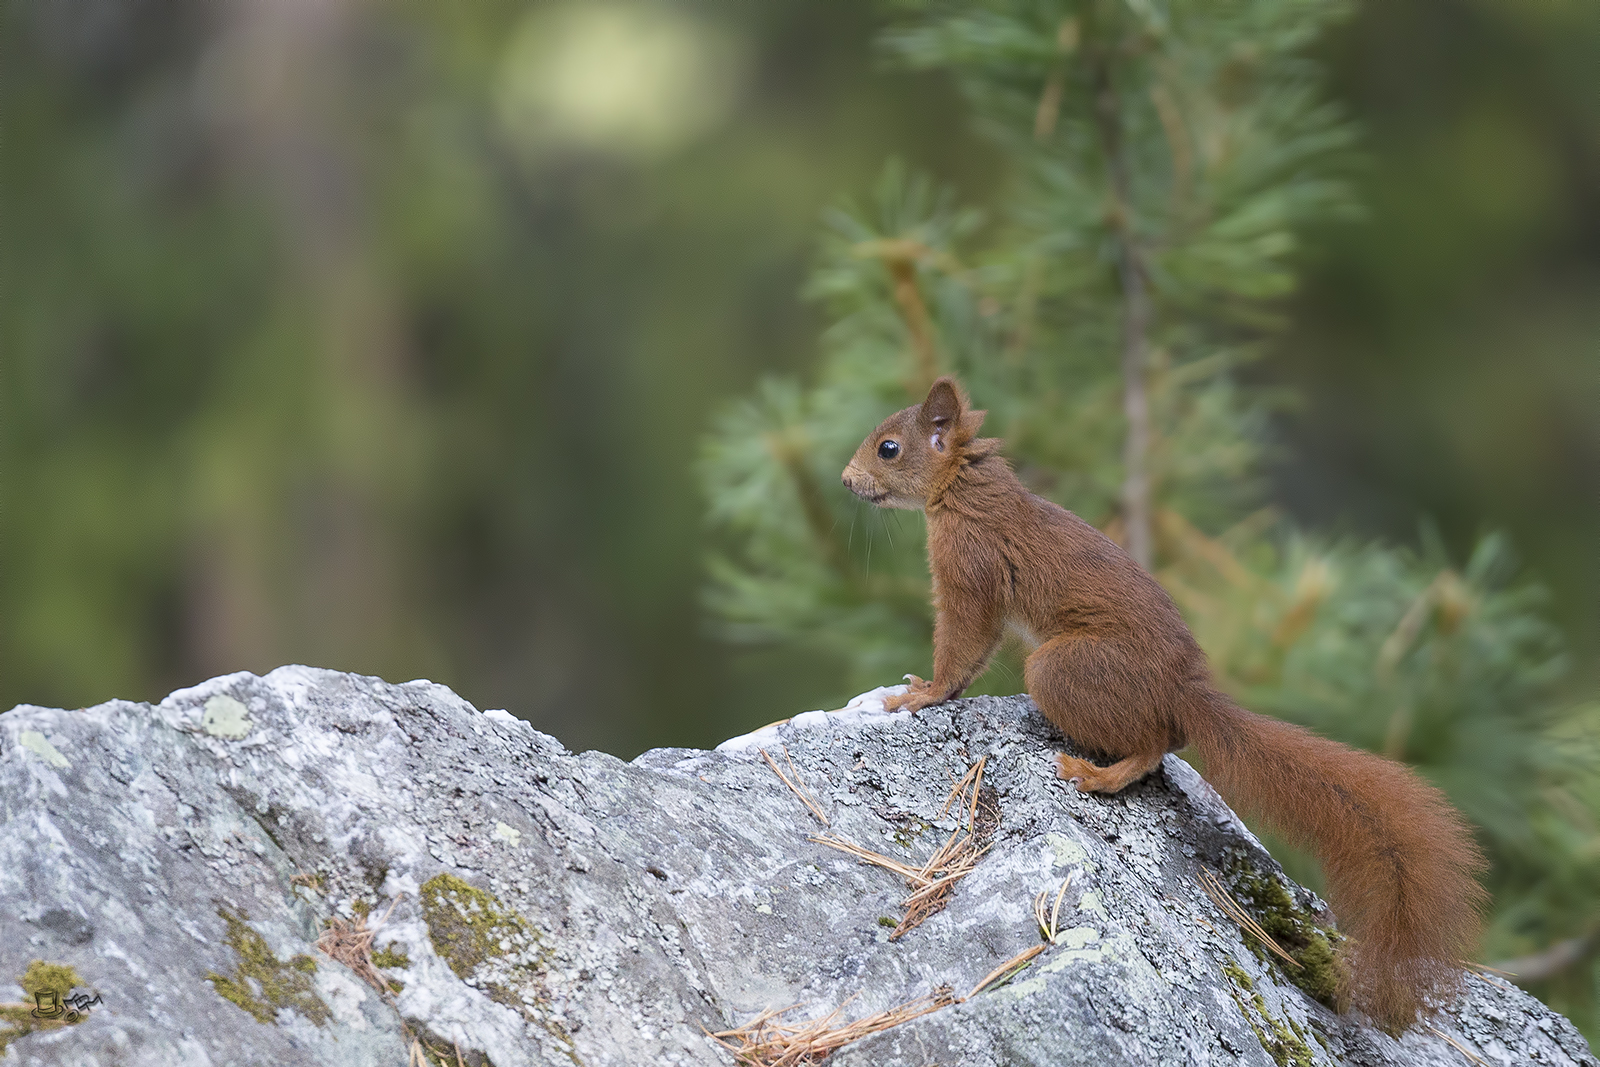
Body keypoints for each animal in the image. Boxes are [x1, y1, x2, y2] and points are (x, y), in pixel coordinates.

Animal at [841, 375, 1486, 1030]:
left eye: (889, 449)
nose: (845, 479)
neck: (965, 489)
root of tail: (1182, 693)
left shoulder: (969, 567)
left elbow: (963, 644)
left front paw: (921, 693)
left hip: (1060, 669)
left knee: (1149, 748)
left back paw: (1096, 776)